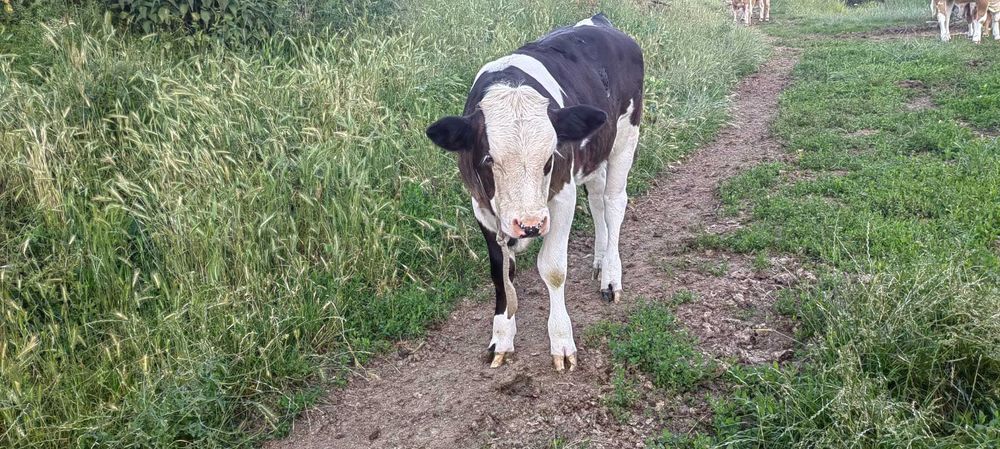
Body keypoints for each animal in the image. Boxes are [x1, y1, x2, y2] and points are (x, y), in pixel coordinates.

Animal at [425, 13, 643, 372]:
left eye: (549, 159)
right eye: (488, 159)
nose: (529, 225)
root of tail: (598, 21)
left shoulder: (562, 195)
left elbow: (553, 268)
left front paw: (562, 341)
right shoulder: (480, 205)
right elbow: (501, 271)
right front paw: (501, 337)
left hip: (626, 135)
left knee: (613, 203)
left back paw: (611, 275)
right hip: (595, 151)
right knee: (597, 200)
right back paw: (599, 260)